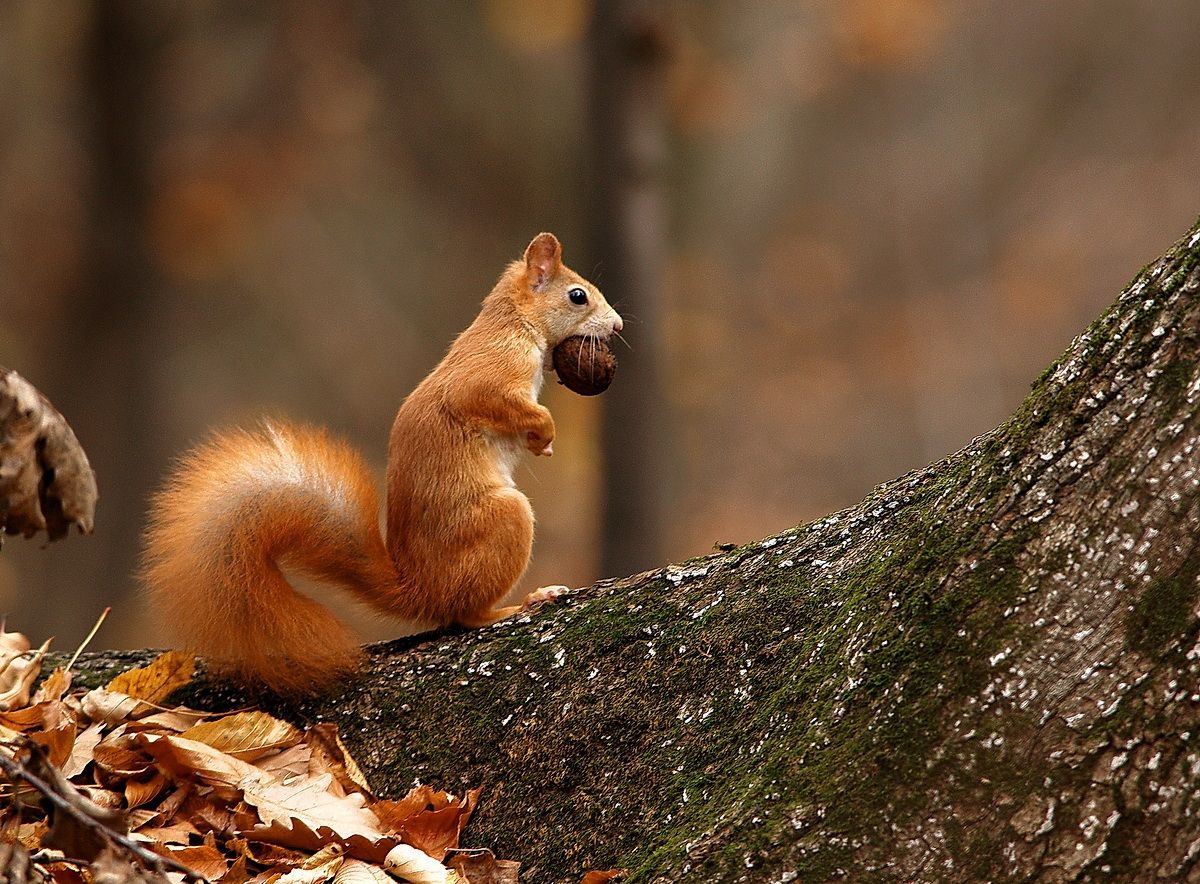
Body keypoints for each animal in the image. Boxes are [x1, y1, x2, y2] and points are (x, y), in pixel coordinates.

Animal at [141, 232, 623, 694]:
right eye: (578, 296)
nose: (618, 325)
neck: (513, 322)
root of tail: (420, 591)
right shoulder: (492, 371)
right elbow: (491, 401)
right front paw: (545, 432)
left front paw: (541, 446)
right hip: (504, 520)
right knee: (464, 615)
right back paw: (523, 602)